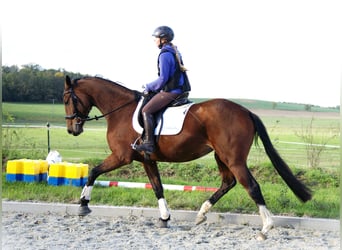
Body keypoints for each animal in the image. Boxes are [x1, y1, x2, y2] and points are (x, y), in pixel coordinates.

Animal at [62, 75, 312, 239]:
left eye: (67, 99)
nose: (72, 129)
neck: (120, 110)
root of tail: (246, 111)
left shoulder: (121, 157)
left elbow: (94, 171)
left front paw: (83, 204)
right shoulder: (147, 160)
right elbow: (157, 187)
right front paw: (164, 218)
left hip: (233, 159)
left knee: (251, 185)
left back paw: (266, 227)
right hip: (221, 157)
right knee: (228, 182)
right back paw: (201, 214)